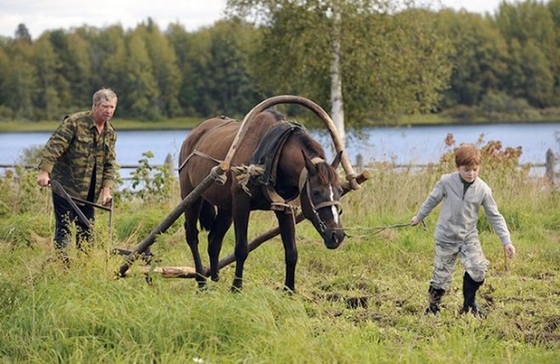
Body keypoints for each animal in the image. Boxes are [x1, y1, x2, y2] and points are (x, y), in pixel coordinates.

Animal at [179, 109, 346, 292]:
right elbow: (241, 249)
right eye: (316, 193)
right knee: (192, 235)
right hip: (191, 197)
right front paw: (236, 287)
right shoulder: (241, 204)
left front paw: (289, 289)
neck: (273, 156)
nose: (337, 235)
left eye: (339, 190)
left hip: (226, 208)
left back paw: (215, 278)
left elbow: (291, 251)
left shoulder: (285, 208)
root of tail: (194, 133)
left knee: (214, 239)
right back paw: (202, 282)